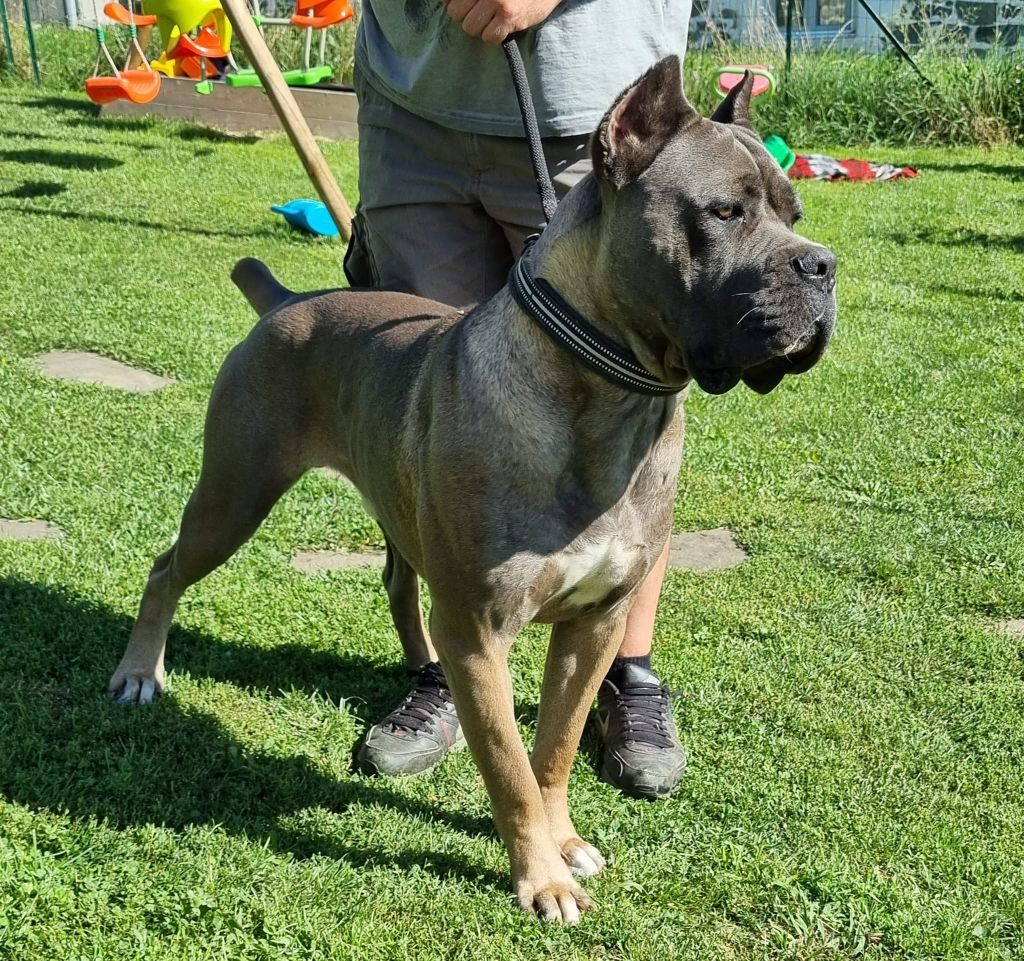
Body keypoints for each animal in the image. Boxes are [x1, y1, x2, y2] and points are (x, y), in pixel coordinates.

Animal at [109, 57, 836, 923]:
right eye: (725, 211)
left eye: (795, 213)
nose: (823, 264)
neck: (609, 394)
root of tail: (285, 300)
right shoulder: (481, 633)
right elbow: (510, 766)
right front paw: (540, 877)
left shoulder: (595, 624)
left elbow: (554, 748)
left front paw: (564, 841)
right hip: (235, 493)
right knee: (167, 567)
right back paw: (139, 673)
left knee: (398, 589)